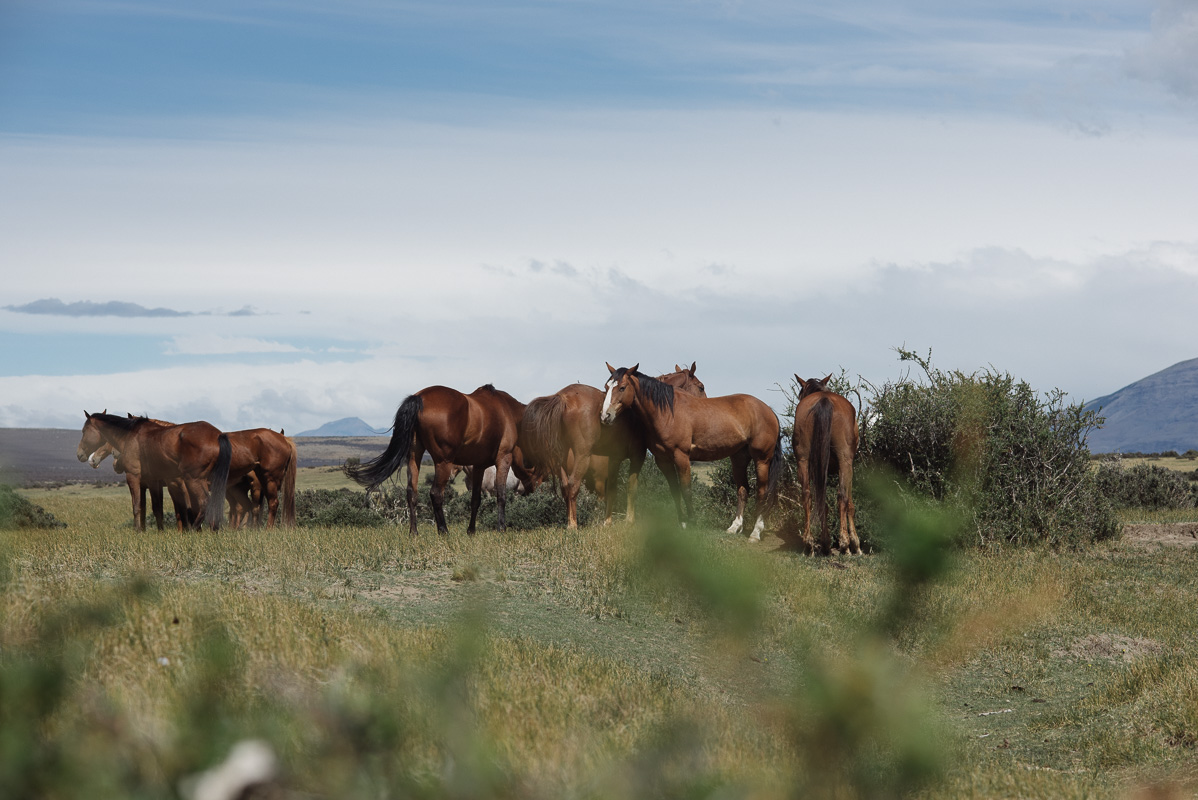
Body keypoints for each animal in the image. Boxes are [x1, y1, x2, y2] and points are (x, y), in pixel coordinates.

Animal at [76, 411, 233, 531]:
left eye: (84, 431)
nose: (80, 455)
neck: (130, 435)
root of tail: (217, 435)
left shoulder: (134, 477)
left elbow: (137, 506)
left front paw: (137, 531)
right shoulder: (152, 482)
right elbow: (155, 508)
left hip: (193, 479)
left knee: (205, 502)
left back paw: (194, 529)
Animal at [345, 383, 536, 534]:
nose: (533, 490)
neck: (508, 412)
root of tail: (419, 398)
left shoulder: (479, 466)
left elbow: (475, 499)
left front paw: (471, 530)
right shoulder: (503, 458)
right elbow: (501, 495)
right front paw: (501, 528)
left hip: (414, 457)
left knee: (411, 493)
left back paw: (414, 532)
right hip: (443, 463)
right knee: (436, 493)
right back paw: (443, 530)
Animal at [599, 366, 785, 541]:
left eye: (622, 387)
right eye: (606, 386)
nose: (605, 416)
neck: (667, 412)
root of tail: (768, 410)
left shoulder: (681, 456)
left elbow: (686, 489)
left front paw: (692, 523)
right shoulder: (663, 460)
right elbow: (674, 490)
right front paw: (682, 523)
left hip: (762, 459)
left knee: (762, 492)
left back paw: (755, 532)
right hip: (739, 458)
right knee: (743, 490)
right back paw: (735, 527)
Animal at [790, 371, 857, 553]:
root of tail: (823, 400)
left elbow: (822, 502)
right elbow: (849, 503)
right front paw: (855, 543)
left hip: (804, 460)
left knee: (807, 495)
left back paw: (811, 542)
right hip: (845, 460)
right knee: (842, 497)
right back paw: (844, 543)